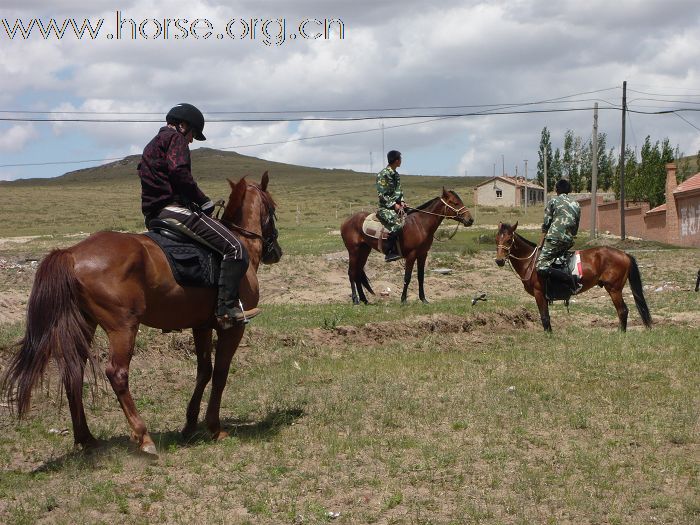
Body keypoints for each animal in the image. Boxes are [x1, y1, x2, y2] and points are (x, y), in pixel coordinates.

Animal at [3, 172, 282, 454]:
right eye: (272, 208)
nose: (276, 252)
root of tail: (71, 254)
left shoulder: (201, 326)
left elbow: (204, 371)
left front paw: (190, 424)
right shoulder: (234, 328)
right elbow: (221, 375)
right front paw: (214, 427)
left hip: (84, 324)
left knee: (74, 372)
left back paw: (87, 438)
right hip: (123, 327)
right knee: (116, 373)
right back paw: (143, 437)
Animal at [340, 187, 476, 302]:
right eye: (455, 202)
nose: (470, 219)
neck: (420, 225)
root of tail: (346, 221)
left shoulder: (422, 255)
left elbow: (420, 277)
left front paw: (423, 299)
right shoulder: (411, 255)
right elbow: (407, 277)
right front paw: (403, 299)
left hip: (364, 251)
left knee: (358, 272)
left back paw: (364, 299)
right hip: (353, 251)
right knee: (352, 272)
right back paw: (355, 299)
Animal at [492, 222, 652, 332]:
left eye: (509, 240)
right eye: (496, 239)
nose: (499, 260)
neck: (531, 262)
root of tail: (624, 254)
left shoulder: (539, 294)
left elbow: (544, 317)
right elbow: (547, 316)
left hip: (614, 289)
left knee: (622, 311)